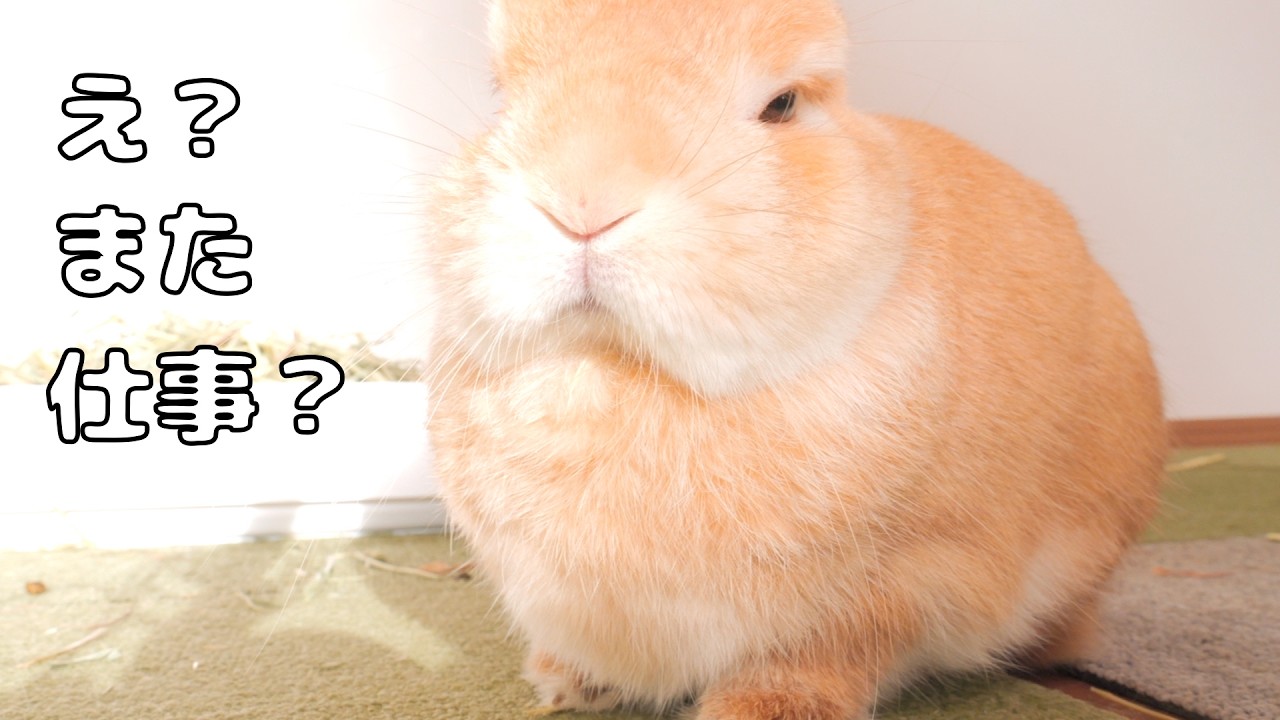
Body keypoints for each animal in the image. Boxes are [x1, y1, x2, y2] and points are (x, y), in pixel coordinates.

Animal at [423, 0, 1167, 718]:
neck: (613, 369)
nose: (583, 203)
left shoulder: (904, 582)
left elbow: (826, 653)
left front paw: (765, 709)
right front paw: (567, 683)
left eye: (781, 105)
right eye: (503, 96)